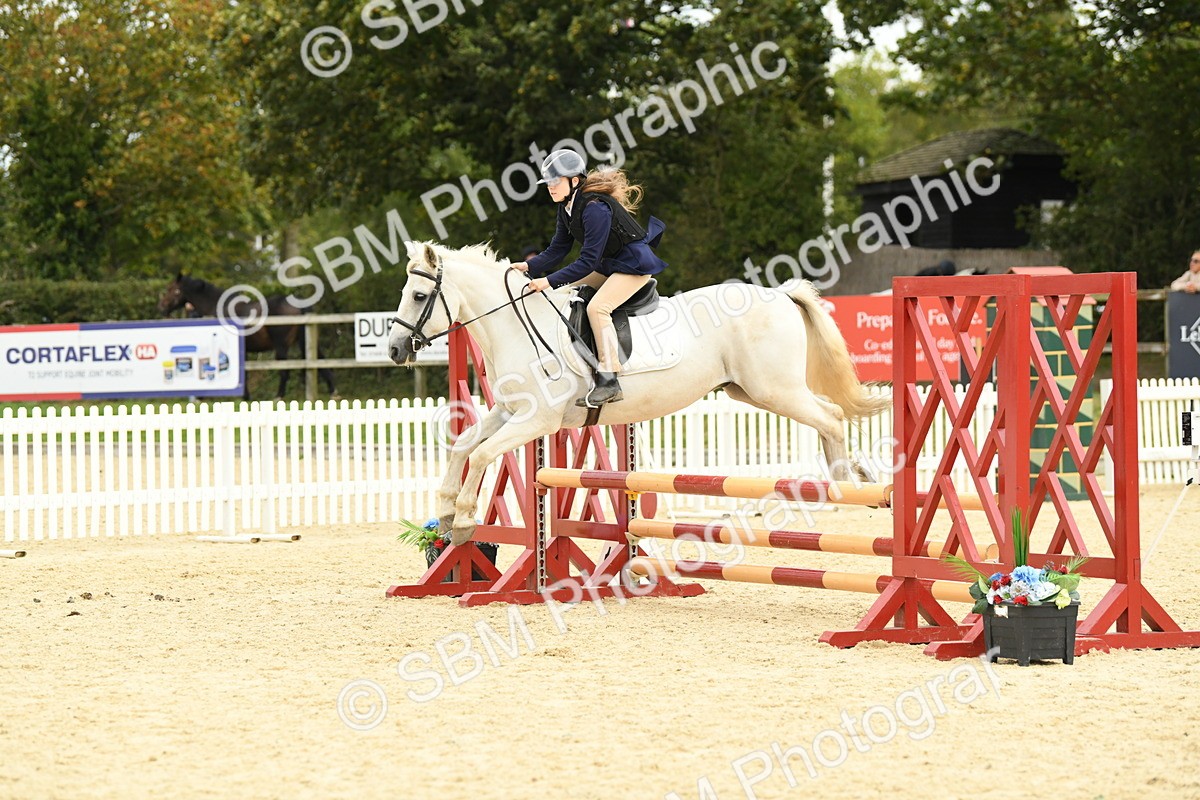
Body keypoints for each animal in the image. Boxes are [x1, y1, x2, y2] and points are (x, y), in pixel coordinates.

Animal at [157, 274, 337, 399]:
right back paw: (333, 393)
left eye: (173, 289)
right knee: (322, 363)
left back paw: (278, 397)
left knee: (285, 372)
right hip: (305, 342)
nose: (162, 307)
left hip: (281, 346)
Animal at [387, 242, 889, 547]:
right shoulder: (510, 411)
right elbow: (464, 446)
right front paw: (445, 513)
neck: (514, 325)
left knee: (830, 416)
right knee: (829, 412)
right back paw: (853, 478)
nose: (394, 350)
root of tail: (781, 295)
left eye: (418, 296)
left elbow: (481, 455)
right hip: (748, 391)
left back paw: (847, 483)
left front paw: (464, 522)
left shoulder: (537, 421)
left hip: (774, 390)